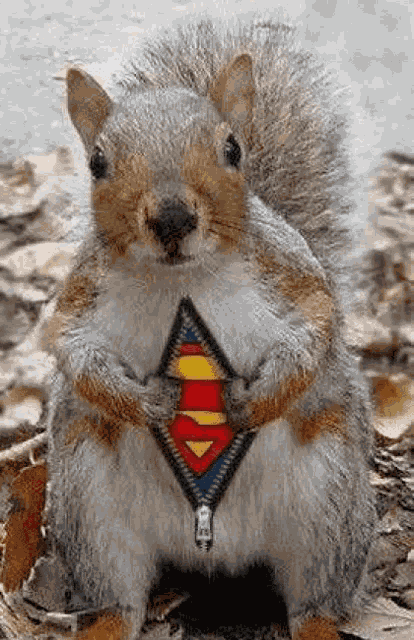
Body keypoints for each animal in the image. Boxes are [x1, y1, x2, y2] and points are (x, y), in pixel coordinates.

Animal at [28, 14, 377, 640]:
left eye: (232, 149)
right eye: (97, 163)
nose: (172, 218)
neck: (181, 282)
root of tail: (214, 542)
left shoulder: (293, 277)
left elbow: (314, 333)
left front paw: (254, 402)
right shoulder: (79, 302)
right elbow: (75, 354)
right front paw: (148, 403)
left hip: (330, 506)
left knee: (315, 598)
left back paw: (317, 621)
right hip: (91, 509)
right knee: (118, 596)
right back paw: (105, 622)